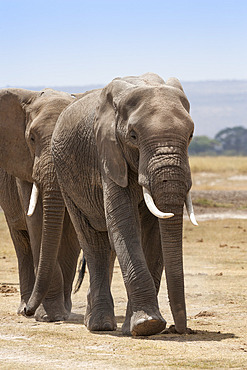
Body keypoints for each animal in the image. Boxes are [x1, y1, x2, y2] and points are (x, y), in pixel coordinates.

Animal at [51, 72, 197, 336]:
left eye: (190, 135)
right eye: (133, 136)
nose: (181, 329)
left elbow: (153, 232)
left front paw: (139, 326)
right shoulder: (107, 154)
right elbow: (123, 222)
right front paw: (147, 325)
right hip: (64, 179)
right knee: (93, 242)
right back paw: (99, 325)